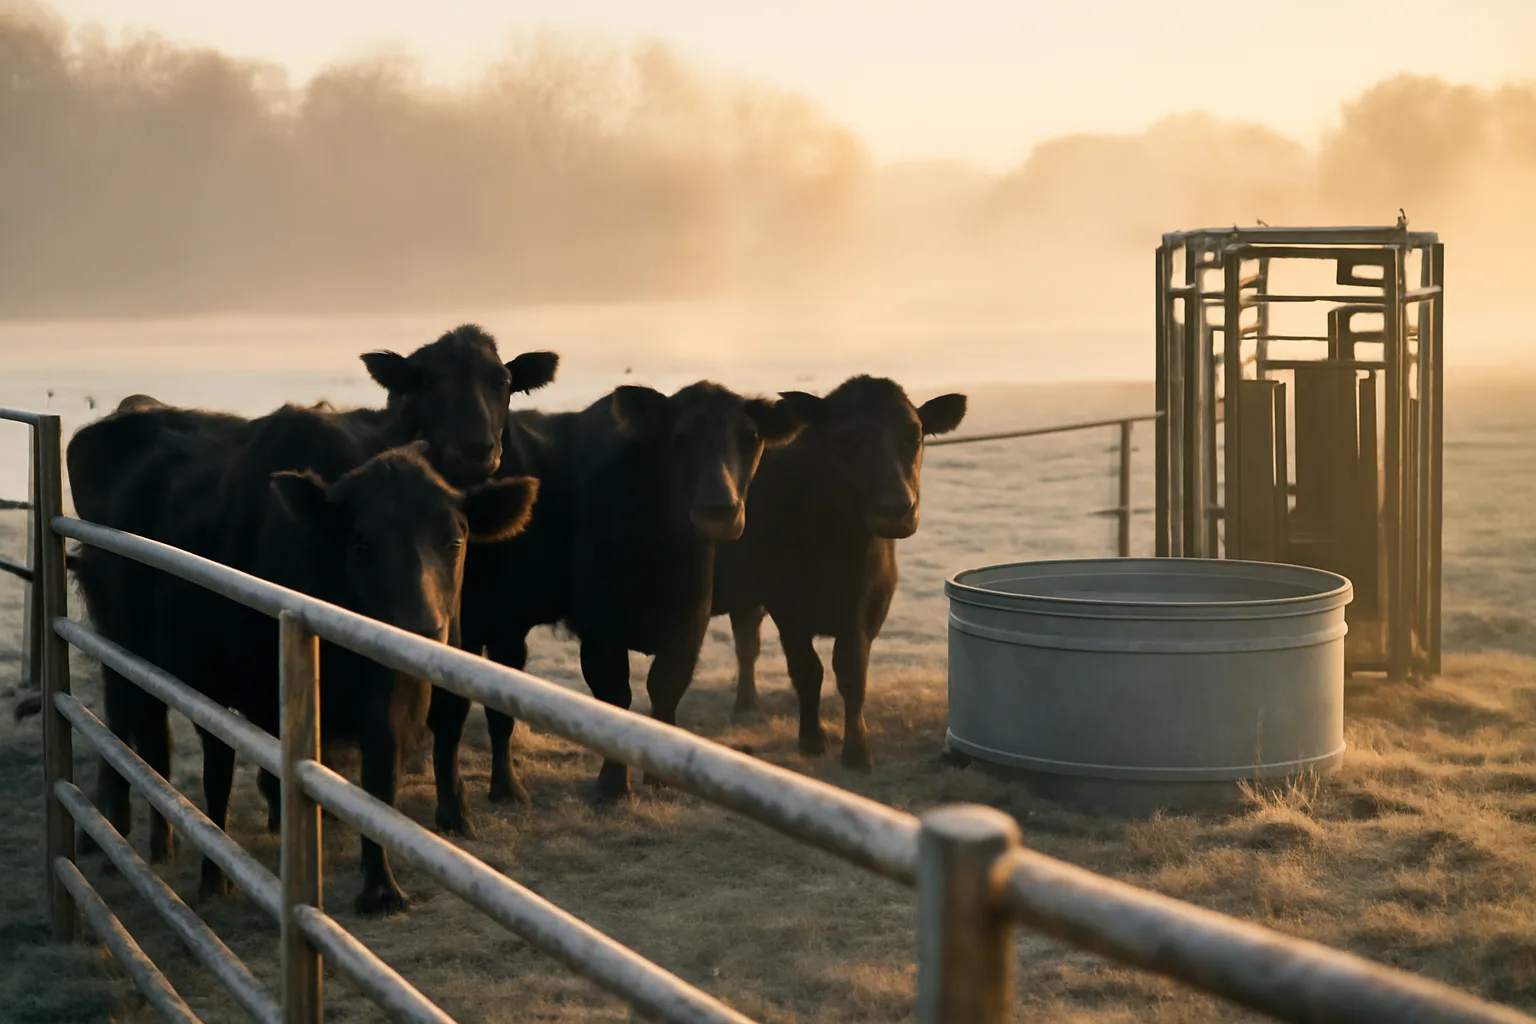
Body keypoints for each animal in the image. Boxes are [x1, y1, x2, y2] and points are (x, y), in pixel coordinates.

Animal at [711, 376, 967, 768]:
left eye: (915, 435)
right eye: (849, 437)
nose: (897, 508)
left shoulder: (870, 606)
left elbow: (852, 671)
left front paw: (857, 750)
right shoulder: (787, 607)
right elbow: (807, 670)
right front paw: (811, 738)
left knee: (746, 642)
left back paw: (747, 705)